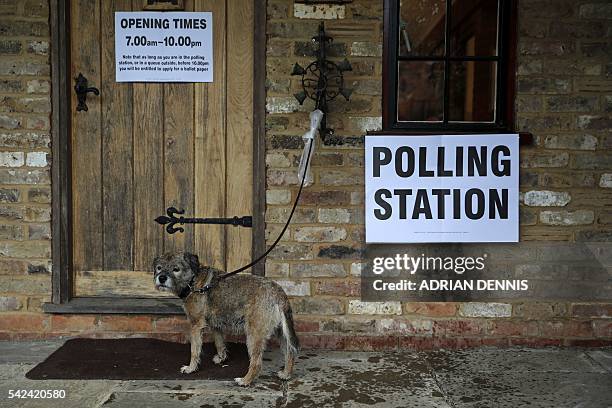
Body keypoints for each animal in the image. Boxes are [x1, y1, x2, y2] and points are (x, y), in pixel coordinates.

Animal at [154, 252, 300, 386]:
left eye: (176, 269)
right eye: (159, 268)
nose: (161, 278)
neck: (193, 280)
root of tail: (278, 293)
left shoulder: (196, 325)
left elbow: (194, 350)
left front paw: (191, 368)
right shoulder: (216, 326)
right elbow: (219, 343)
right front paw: (221, 358)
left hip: (254, 335)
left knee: (257, 363)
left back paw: (245, 380)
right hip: (281, 332)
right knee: (290, 352)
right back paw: (286, 374)